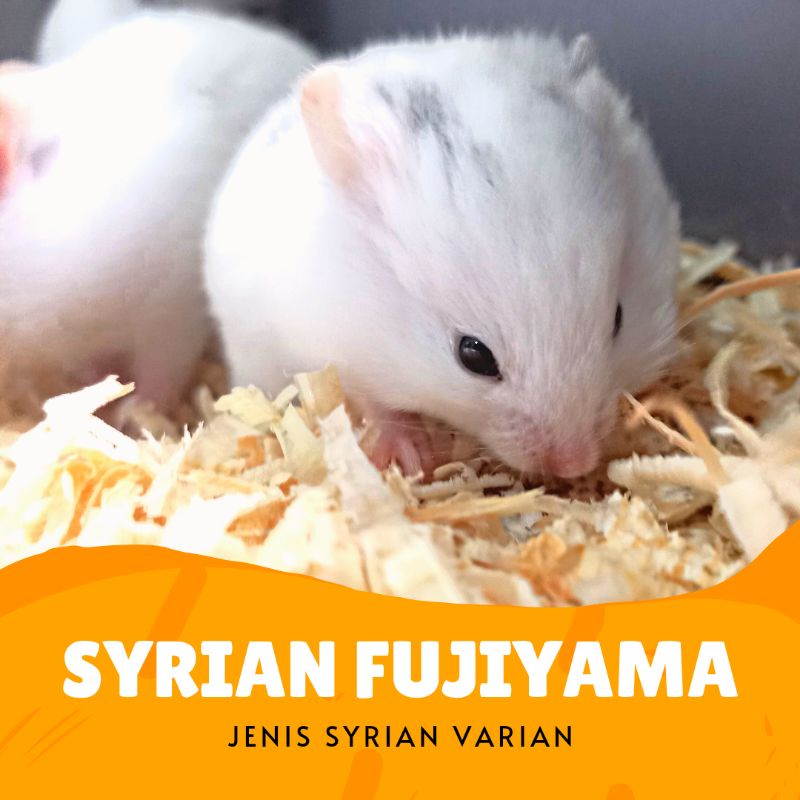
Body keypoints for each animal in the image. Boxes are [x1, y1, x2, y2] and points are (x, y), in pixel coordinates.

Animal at [204, 33, 680, 479]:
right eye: (473, 356)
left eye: (618, 318)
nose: (576, 464)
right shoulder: (333, 351)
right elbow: (375, 404)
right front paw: (412, 460)